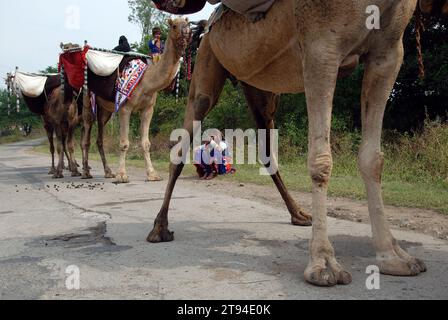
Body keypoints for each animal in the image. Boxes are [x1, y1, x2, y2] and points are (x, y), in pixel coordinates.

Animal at [79, 18, 192, 182]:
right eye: (174, 25)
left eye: (188, 24)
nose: (187, 33)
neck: (146, 81)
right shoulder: (125, 108)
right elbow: (124, 143)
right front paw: (121, 175)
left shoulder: (147, 109)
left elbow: (146, 143)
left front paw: (152, 174)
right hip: (87, 98)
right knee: (86, 136)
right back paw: (86, 172)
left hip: (105, 110)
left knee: (99, 137)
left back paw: (108, 172)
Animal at [148, 0, 448, 284]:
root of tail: (204, 26)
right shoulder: (321, 46)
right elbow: (321, 159)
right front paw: (324, 264)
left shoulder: (388, 53)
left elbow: (373, 158)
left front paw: (394, 257)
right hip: (208, 60)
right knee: (186, 136)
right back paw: (159, 228)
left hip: (260, 89)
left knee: (267, 150)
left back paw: (300, 214)